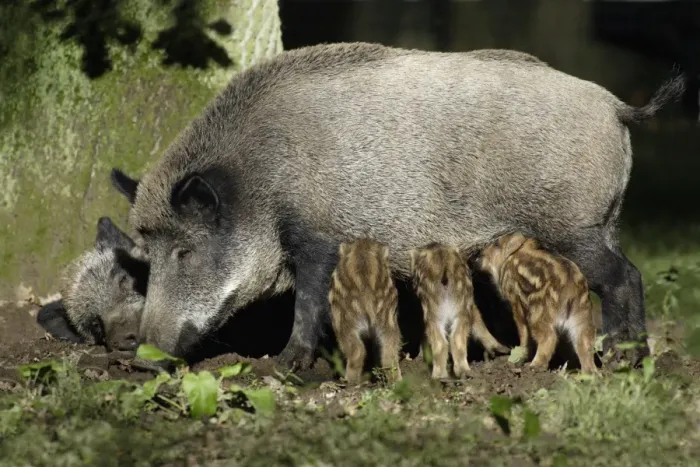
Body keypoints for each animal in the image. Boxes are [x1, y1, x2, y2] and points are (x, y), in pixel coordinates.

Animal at [328, 239, 402, 384]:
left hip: (343, 323)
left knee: (357, 351)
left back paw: (349, 381)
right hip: (388, 321)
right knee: (389, 354)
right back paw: (397, 381)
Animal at [477, 233, 598, 374]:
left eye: (496, 244)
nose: (478, 255)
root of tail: (571, 288)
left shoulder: (515, 300)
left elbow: (522, 330)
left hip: (538, 314)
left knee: (549, 337)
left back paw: (534, 366)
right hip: (582, 315)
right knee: (585, 343)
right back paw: (590, 373)